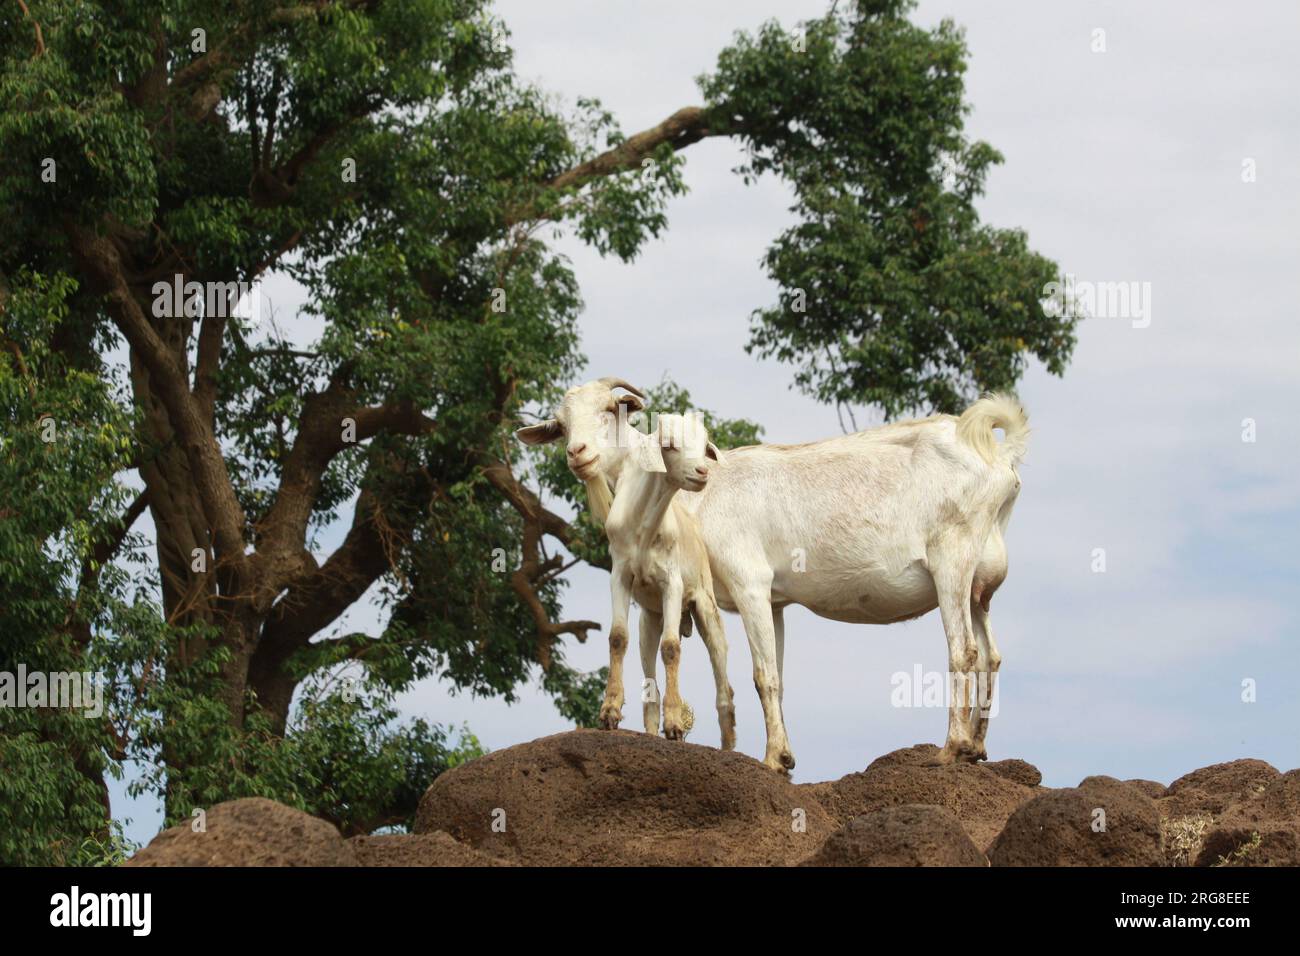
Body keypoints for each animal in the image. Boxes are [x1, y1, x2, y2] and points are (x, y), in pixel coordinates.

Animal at [517, 378, 1027, 773]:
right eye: (561, 425)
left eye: (611, 411)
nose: (578, 453)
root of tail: (1000, 458)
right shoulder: (766, 600)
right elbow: (774, 673)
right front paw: (782, 757)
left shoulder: (748, 583)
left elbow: (762, 675)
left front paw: (770, 759)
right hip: (979, 586)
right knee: (991, 653)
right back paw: (977, 748)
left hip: (951, 561)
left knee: (962, 650)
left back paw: (951, 749)